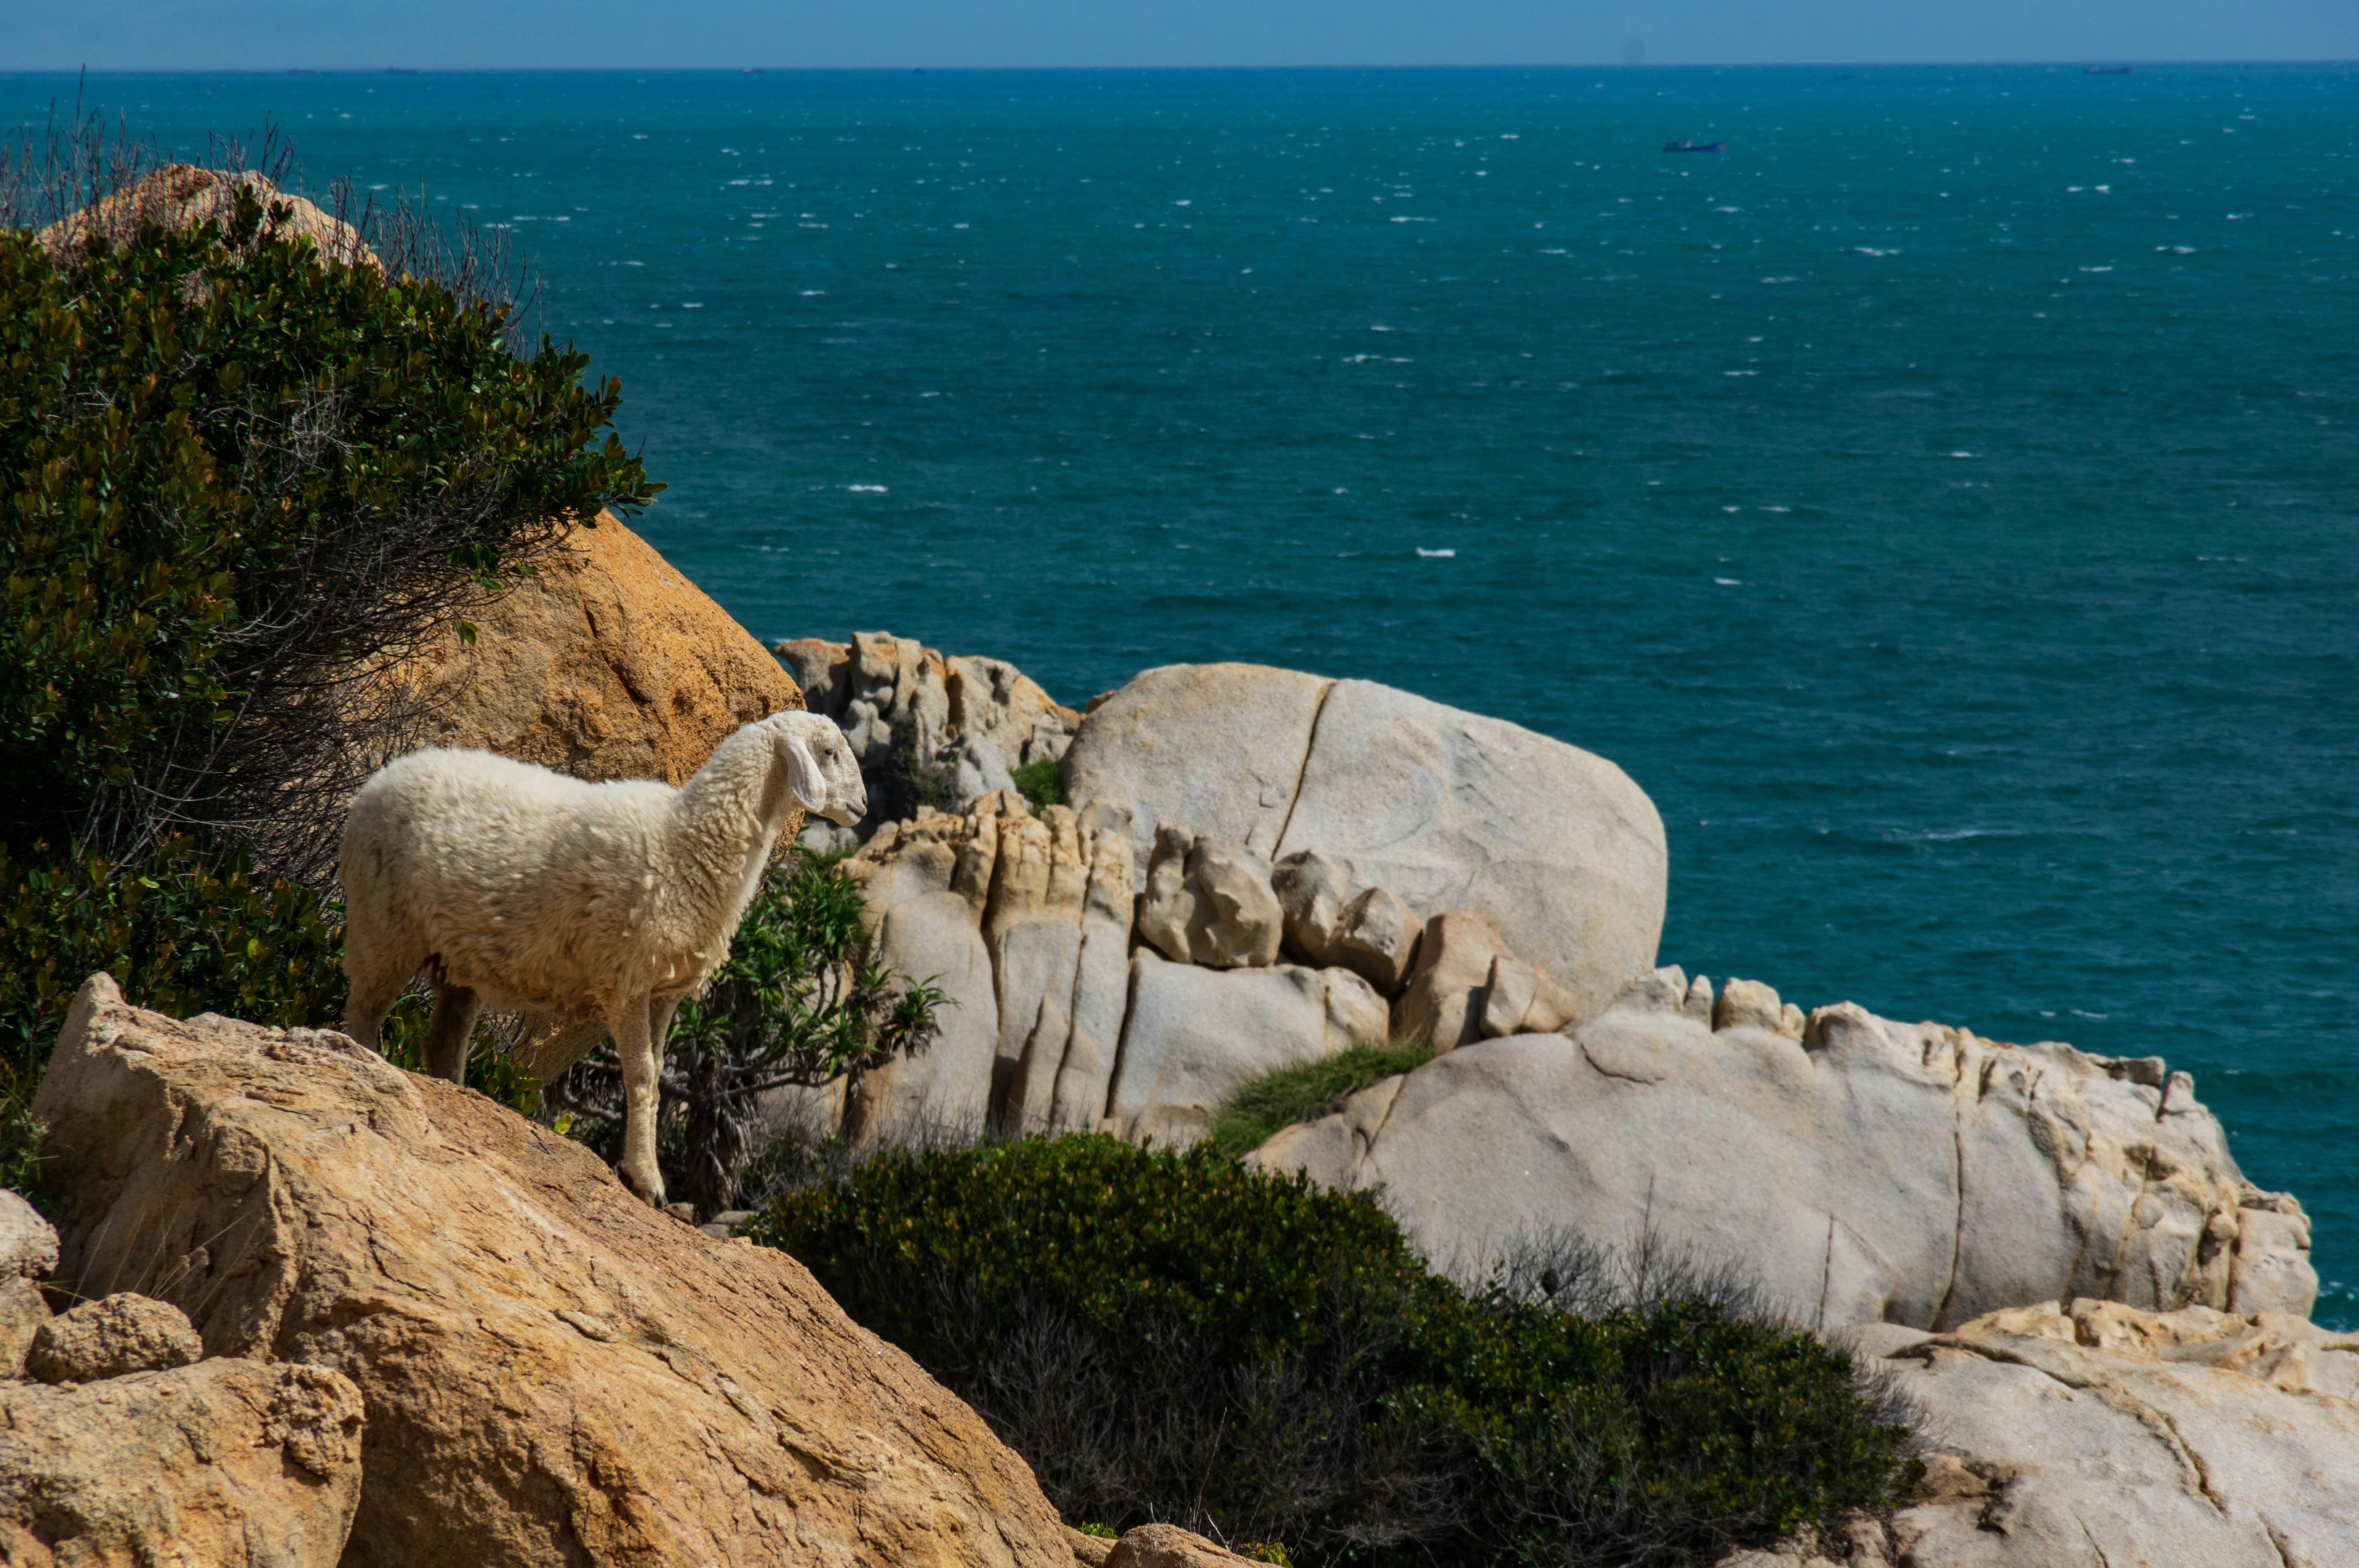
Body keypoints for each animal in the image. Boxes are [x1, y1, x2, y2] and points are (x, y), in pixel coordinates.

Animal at [338, 709, 867, 1207]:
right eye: (828, 752)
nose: (862, 806)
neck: (689, 839)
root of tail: (376, 782)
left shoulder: (664, 990)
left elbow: (657, 1073)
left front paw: (644, 1174)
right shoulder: (628, 979)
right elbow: (641, 1076)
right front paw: (646, 1179)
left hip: (455, 955)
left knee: (443, 1040)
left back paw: (454, 1096)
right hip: (383, 921)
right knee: (363, 1013)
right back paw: (368, 1075)